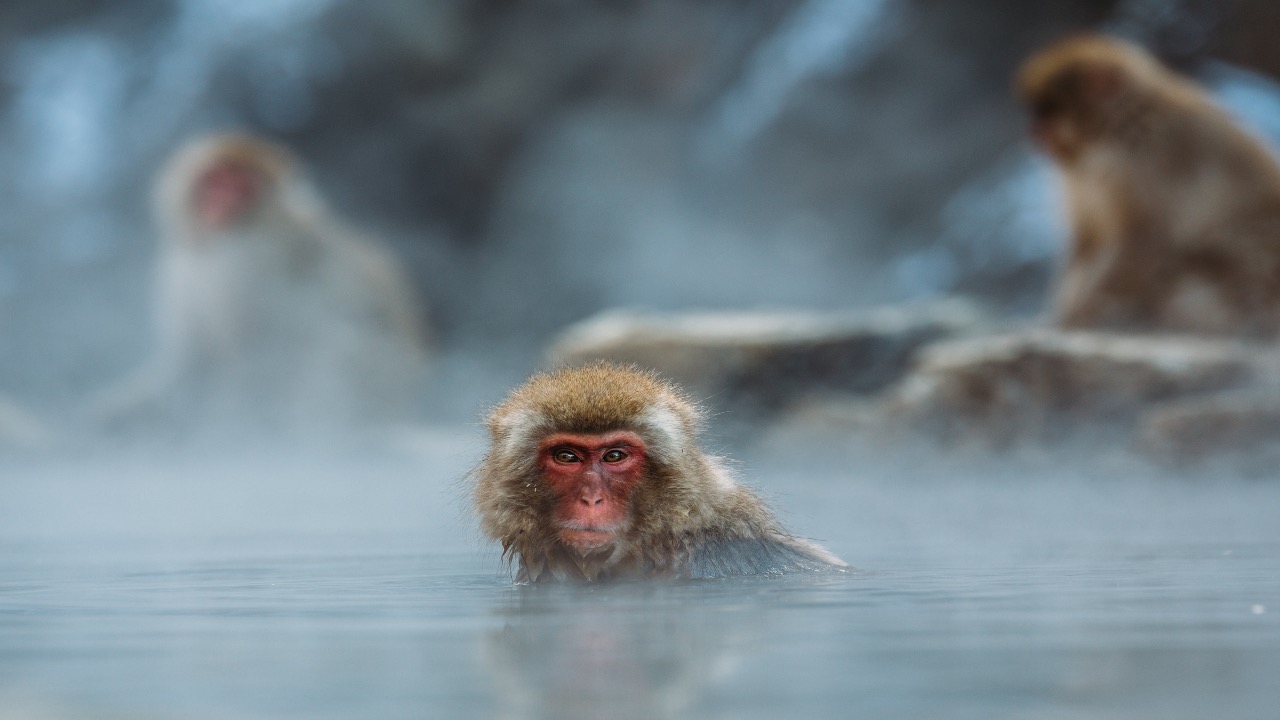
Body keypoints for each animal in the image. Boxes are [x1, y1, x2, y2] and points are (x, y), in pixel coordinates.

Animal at [1018, 33, 1280, 335]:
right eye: (1037, 110)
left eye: (1047, 109)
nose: (1033, 130)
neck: (1114, 132)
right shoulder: (1081, 179)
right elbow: (1088, 242)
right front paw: (1064, 314)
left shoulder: (1149, 165)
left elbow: (1144, 243)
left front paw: (1081, 317)